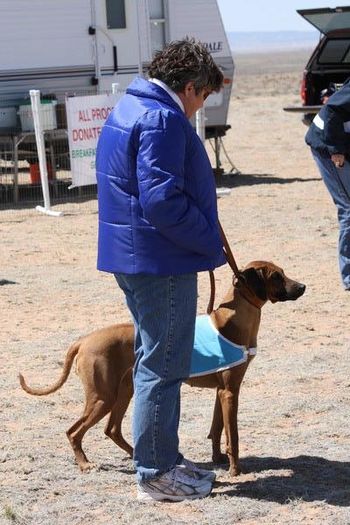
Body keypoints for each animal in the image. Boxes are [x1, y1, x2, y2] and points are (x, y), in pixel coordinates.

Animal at [19, 260, 304, 476]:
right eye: (276, 277)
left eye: (283, 272)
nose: (302, 286)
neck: (231, 322)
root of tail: (84, 340)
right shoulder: (231, 392)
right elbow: (232, 434)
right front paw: (235, 470)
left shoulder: (221, 391)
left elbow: (216, 429)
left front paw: (218, 459)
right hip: (103, 397)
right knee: (73, 431)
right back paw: (85, 463)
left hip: (125, 391)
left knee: (112, 429)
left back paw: (138, 457)